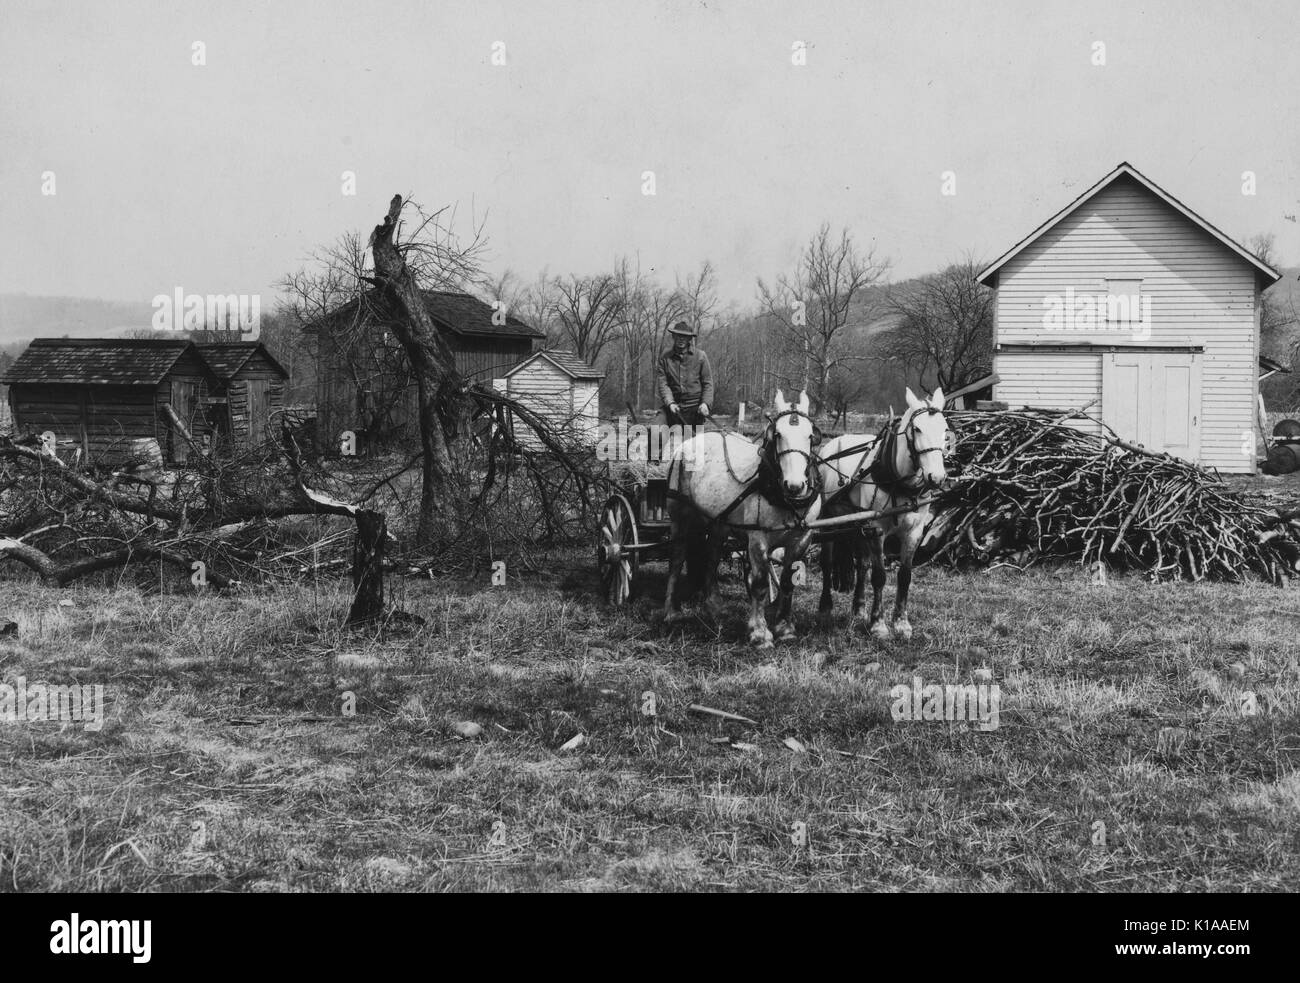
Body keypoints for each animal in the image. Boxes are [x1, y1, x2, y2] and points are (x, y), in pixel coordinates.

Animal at [665, 387, 816, 650]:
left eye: (810, 435)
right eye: (778, 434)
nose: (795, 486)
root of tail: (690, 442)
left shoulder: (801, 540)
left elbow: (788, 582)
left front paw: (785, 627)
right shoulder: (757, 539)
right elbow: (759, 584)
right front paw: (760, 633)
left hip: (718, 522)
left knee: (712, 557)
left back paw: (714, 607)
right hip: (680, 517)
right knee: (677, 557)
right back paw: (671, 611)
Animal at [816, 387, 951, 642]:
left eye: (945, 430)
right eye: (917, 429)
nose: (936, 477)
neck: (899, 481)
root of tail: (833, 443)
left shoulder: (914, 531)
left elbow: (905, 576)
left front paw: (901, 623)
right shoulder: (877, 529)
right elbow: (879, 576)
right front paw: (878, 625)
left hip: (860, 525)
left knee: (861, 564)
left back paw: (858, 609)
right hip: (829, 522)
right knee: (827, 563)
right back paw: (825, 606)